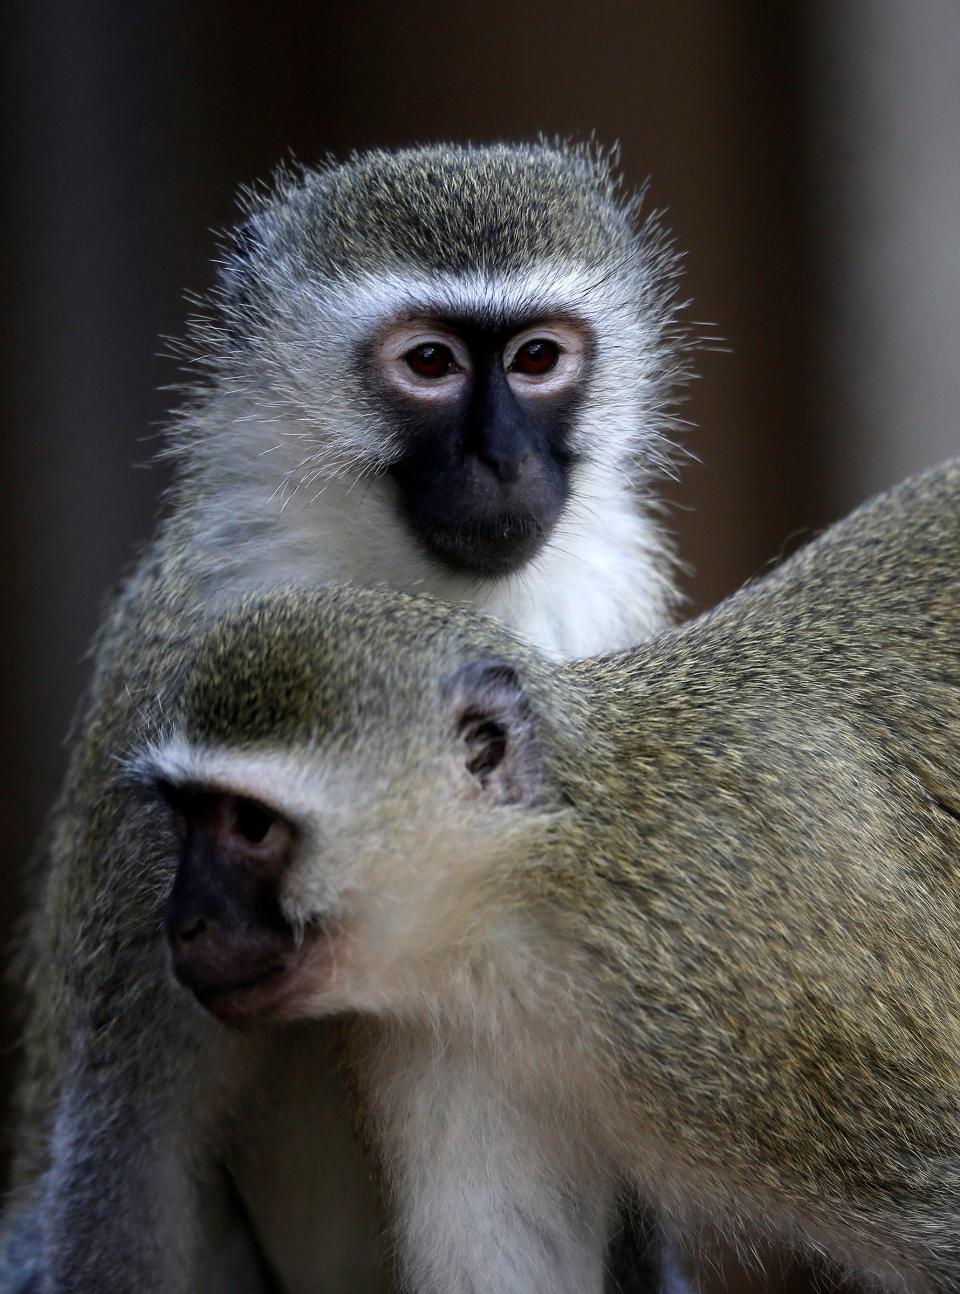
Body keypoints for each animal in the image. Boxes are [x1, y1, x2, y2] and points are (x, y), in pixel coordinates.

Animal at [141, 460, 960, 1294]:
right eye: (188, 818)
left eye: (250, 827)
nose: (184, 924)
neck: (531, 899)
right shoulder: (437, 1042)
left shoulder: (759, 999)